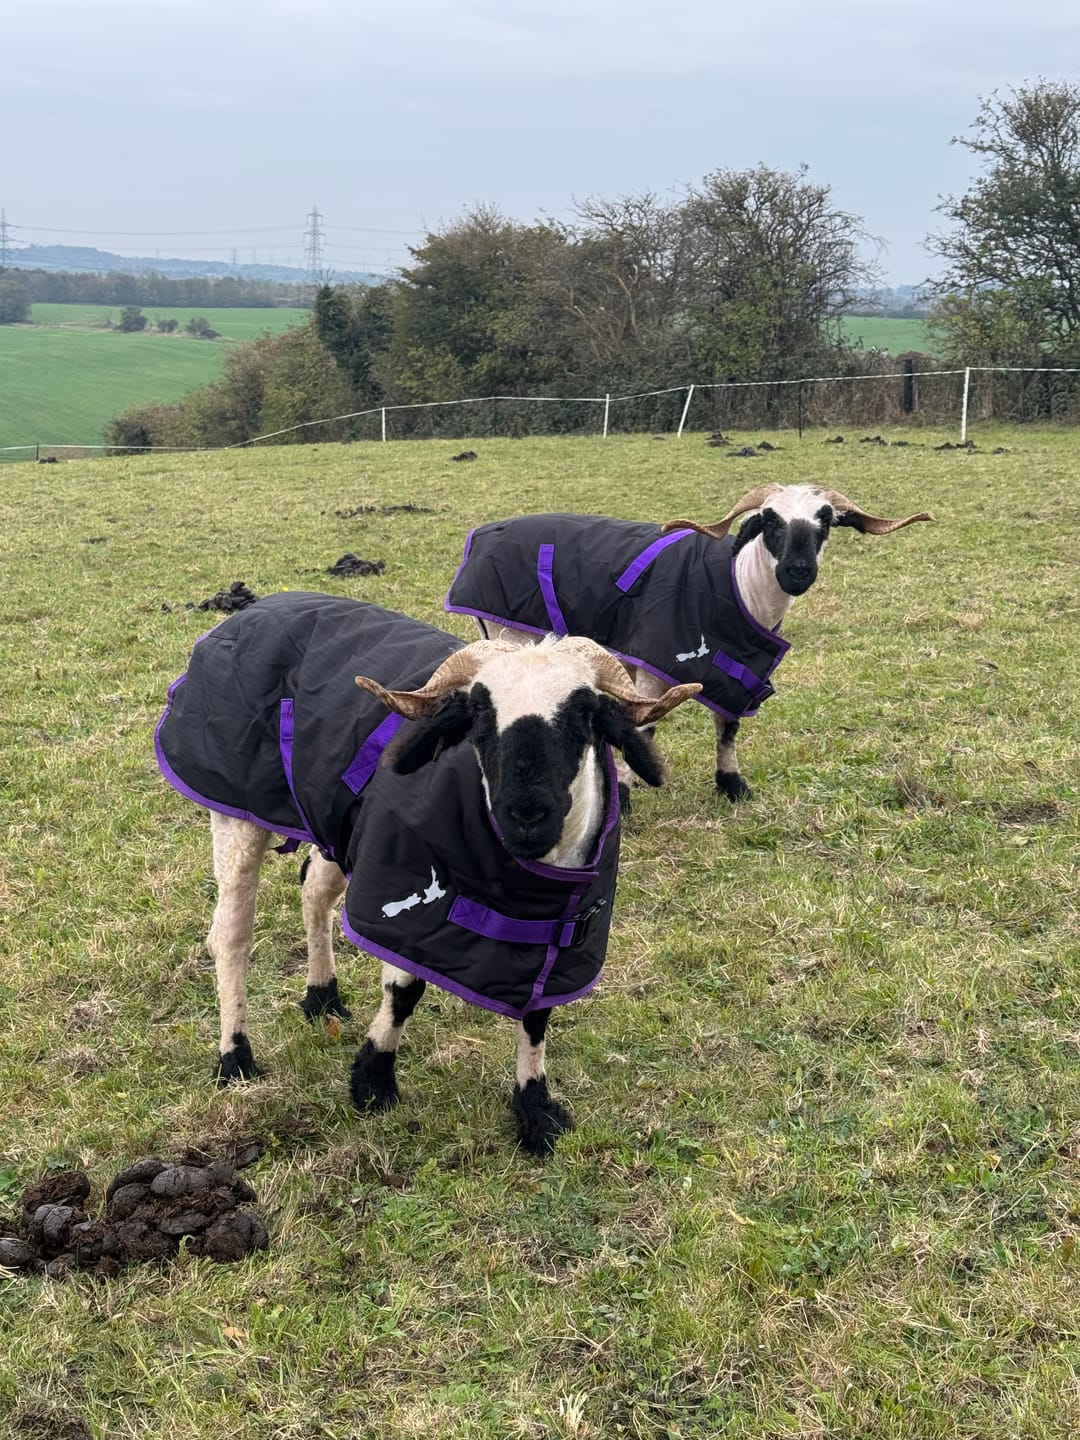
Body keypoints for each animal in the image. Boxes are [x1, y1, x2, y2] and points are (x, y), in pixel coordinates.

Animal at [155, 592, 699, 1156]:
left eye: (584, 712)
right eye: (479, 712)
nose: (526, 815)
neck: (531, 876)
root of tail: (259, 607)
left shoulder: (563, 936)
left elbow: (538, 1013)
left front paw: (535, 1112)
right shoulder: (405, 906)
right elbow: (404, 992)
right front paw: (374, 1082)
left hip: (335, 822)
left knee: (314, 892)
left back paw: (322, 997)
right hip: (236, 813)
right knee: (231, 935)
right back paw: (235, 1058)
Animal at [445, 484, 932, 804]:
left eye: (825, 520)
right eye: (769, 521)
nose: (798, 571)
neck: (740, 587)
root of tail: (482, 535)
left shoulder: (736, 676)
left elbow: (727, 728)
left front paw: (732, 785)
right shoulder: (651, 669)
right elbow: (645, 727)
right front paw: (626, 791)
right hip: (513, 635)